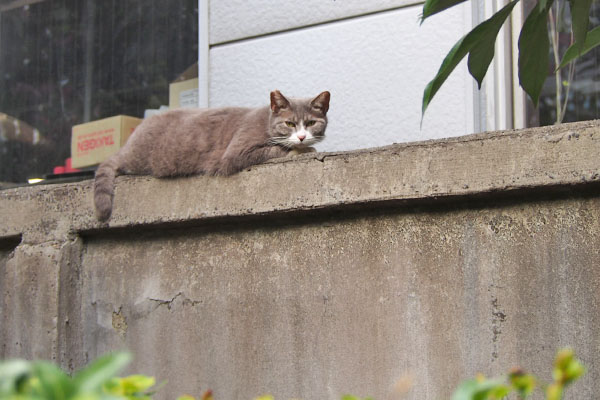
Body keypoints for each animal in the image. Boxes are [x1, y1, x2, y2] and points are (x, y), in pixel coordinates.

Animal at [92, 90, 332, 222]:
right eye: (289, 123)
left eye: (311, 122)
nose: (301, 137)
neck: (266, 121)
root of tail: (129, 143)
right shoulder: (237, 151)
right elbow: (275, 149)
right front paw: (303, 150)